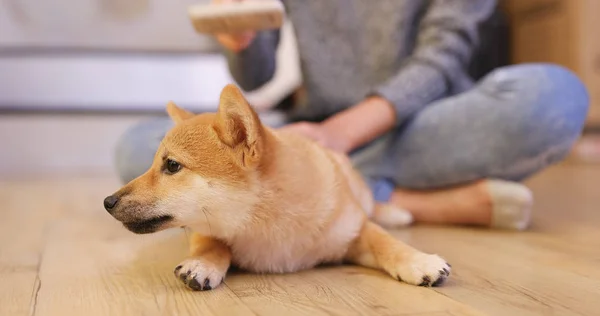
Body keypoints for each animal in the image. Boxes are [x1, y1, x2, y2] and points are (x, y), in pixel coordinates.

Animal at [103, 84, 450, 292]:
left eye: (172, 165)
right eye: (153, 164)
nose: (107, 201)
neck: (268, 223)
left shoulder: (353, 229)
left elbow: (386, 243)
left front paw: (419, 261)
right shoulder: (205, 227)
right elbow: (212, 245)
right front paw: (203, 264)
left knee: (373, 208)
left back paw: (394, 213)